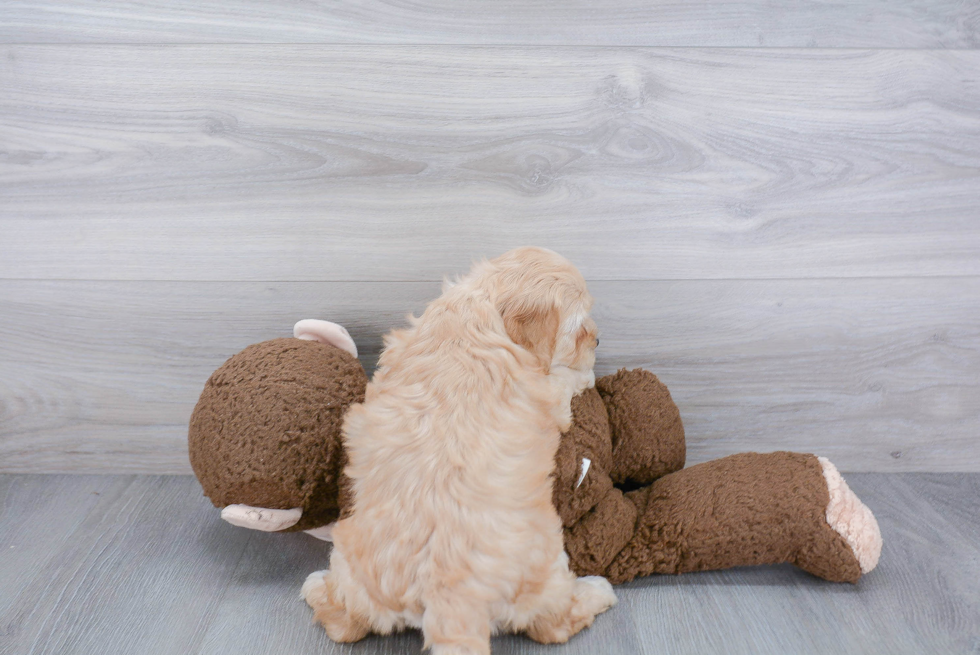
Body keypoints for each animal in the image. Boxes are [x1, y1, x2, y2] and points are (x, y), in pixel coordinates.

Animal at [302, 247, 616, 655]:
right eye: (578, 330)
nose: (598, 342)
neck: (484, 308)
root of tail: (451, 596)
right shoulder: (552, 394)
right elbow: (567, 378)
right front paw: (586, 372)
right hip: (547, 568)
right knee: (554, 624)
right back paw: (598, 591)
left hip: (354, 568)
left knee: (345, 623)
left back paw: (315, 588)